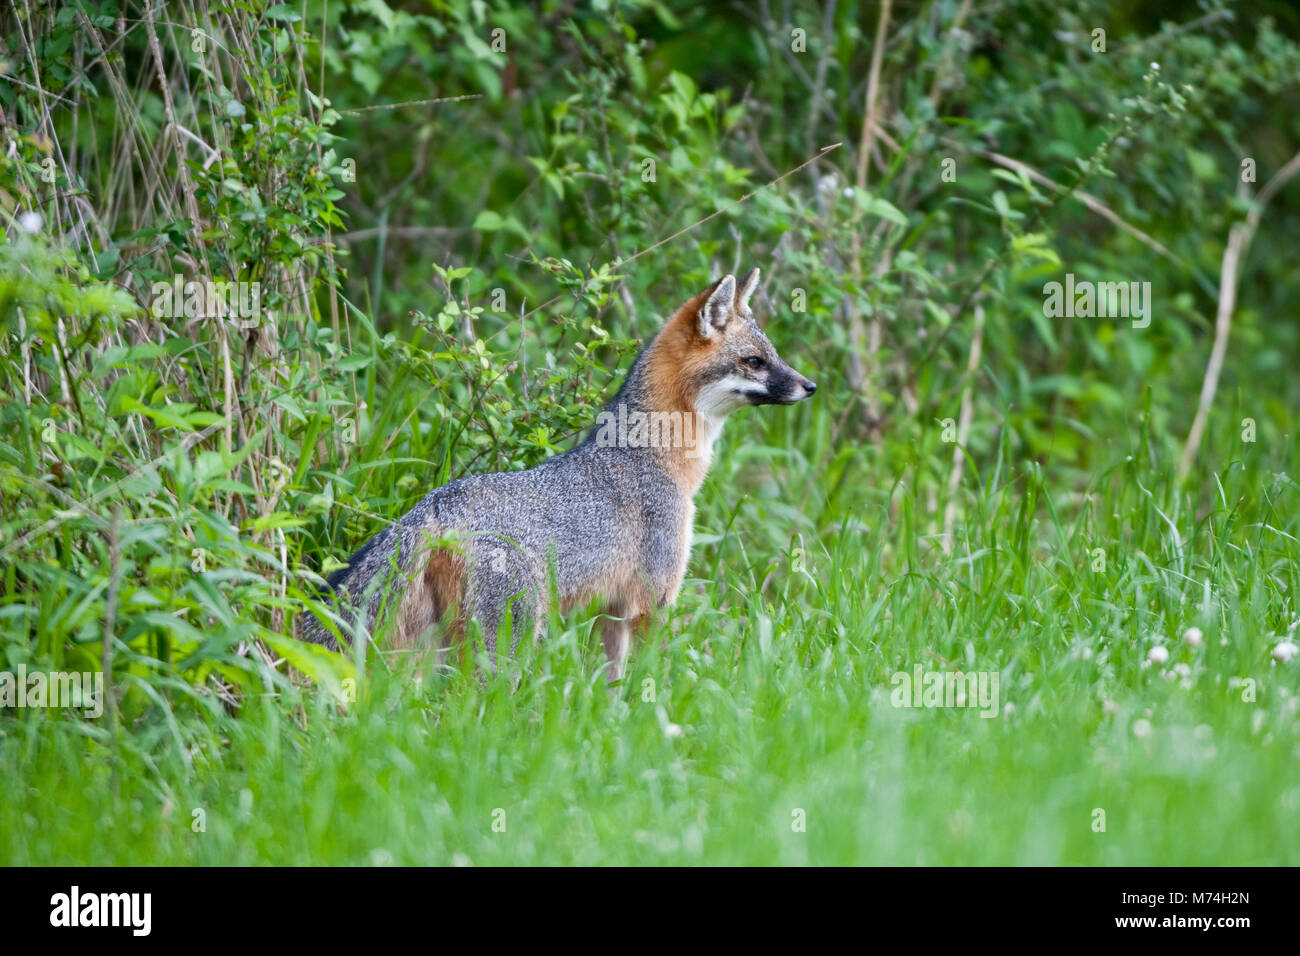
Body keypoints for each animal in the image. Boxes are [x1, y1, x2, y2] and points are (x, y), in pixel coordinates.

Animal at [299, 270, 816, 681]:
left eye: (774, 355)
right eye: (754, 361)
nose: (810, 385)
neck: (651, 455)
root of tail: (432, 507)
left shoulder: (613, 610)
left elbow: (613, 681)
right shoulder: (653, 600)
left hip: (429, 648)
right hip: (505, 642)